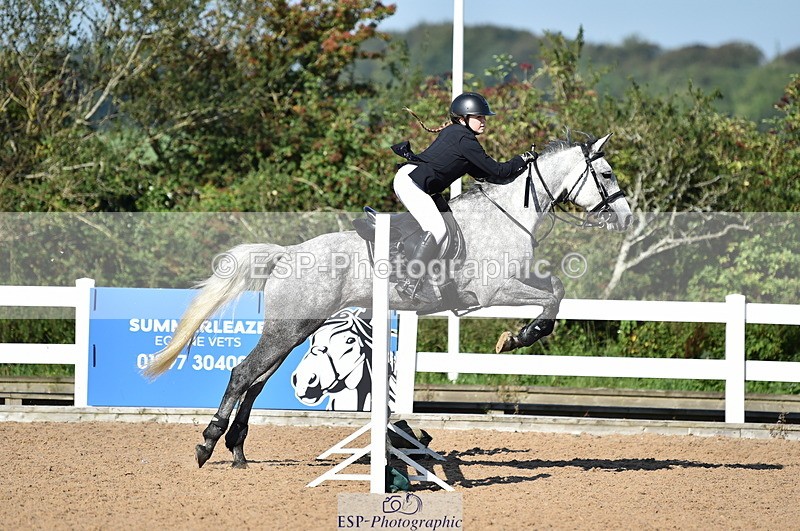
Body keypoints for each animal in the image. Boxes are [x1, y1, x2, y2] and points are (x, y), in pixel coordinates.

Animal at [144, 132, 632, 469]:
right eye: (607, 174)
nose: (626, 217)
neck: (507, 214)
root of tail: (287, 253)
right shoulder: (495, 291)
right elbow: (549, 301)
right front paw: (518, 337)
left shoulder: (519, 279)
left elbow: (556, 290)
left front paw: (518, 336)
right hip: (288, 329)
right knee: (243, 373)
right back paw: (209, 444)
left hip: (296, 329)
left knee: (256, 381)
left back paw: (238, 451)